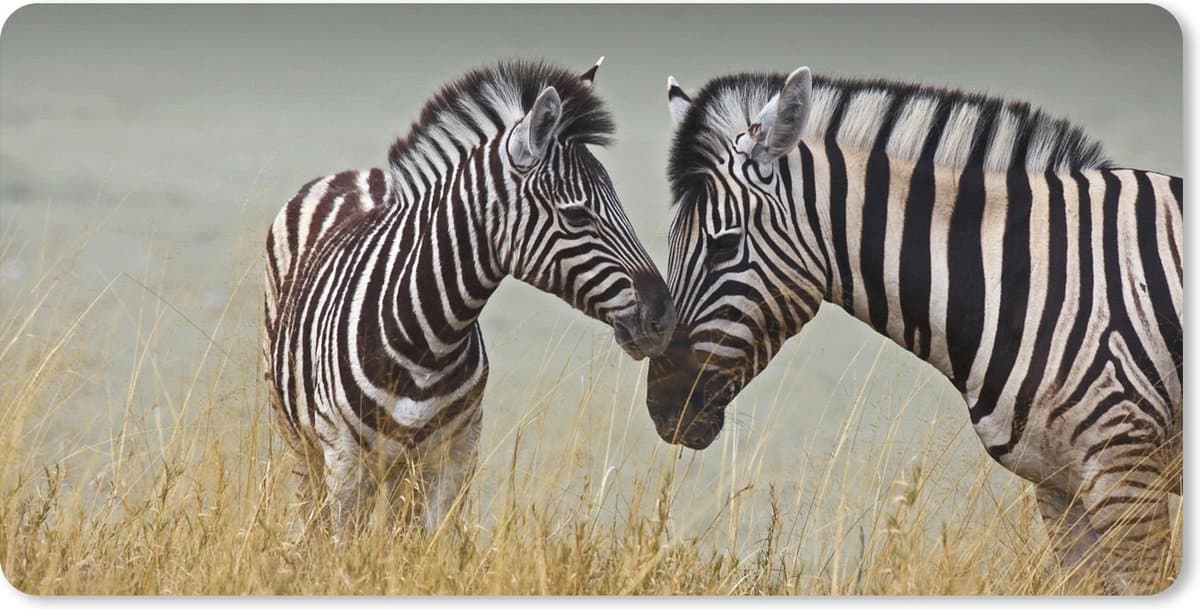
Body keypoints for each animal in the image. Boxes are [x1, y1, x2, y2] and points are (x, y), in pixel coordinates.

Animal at [263, 59, 676, 532]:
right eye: (576, 215)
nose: (663, 317)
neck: (428, 339)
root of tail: (357, 173)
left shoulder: (456, 455)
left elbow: (428, 544)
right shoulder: (345, 459)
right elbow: (340, 543)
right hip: (301, 442)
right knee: (310, 515)